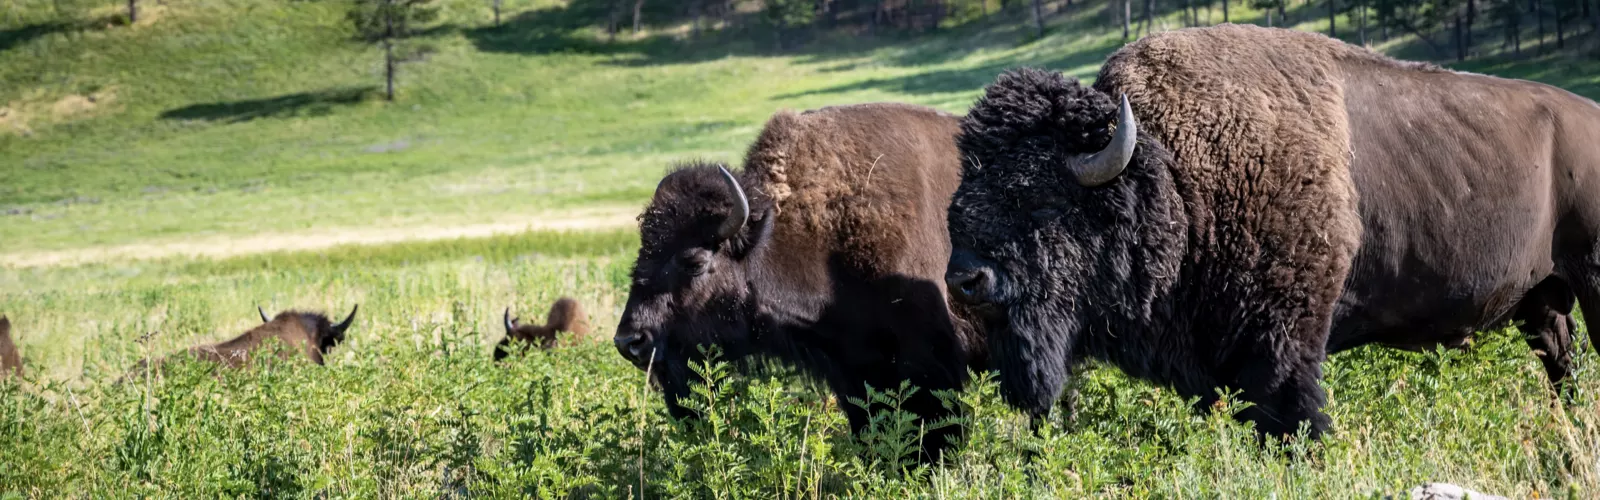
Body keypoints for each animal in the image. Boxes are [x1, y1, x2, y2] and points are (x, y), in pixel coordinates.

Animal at [940, 23, 1600, 442]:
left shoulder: (1284, 342)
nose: (963, 280)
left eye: (1037, 196)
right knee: (1561, 362)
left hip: (1590, 282)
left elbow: (1292, 417)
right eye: (962, 189)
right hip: (1542, 303)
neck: (1171, 176)